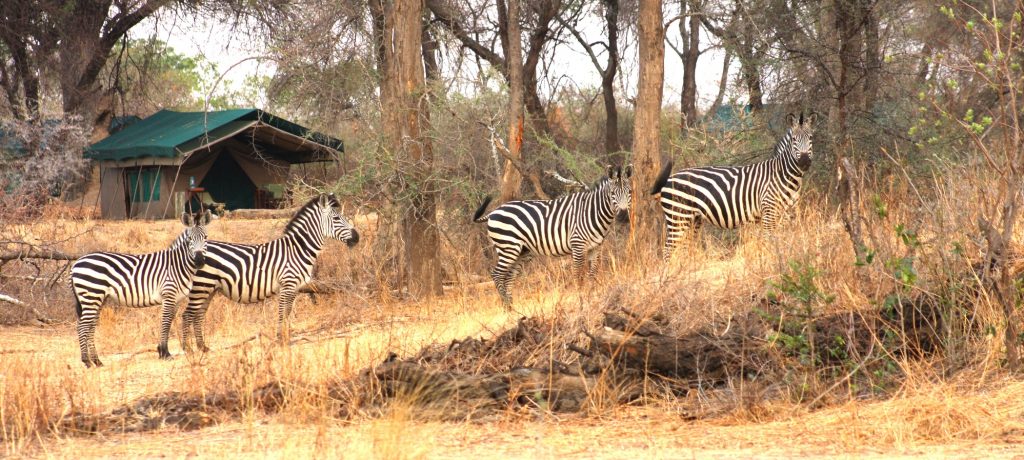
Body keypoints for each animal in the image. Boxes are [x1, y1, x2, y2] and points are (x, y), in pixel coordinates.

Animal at [71, 211, 212, 364]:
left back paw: (97, 361)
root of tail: (76, 263)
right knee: (82, 326)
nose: (199, 261)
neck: (177, 264)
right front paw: (165, 352)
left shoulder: (177, 299)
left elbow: (169, 322)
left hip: (97, 299)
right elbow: (166, 322)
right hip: (91, 295)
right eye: (189, 240)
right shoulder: (168, 295)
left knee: (90, 326)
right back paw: (86, 361)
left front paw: (161, 351)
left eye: (205, 237)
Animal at [180, 191, 360, 352]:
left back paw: (202, 347)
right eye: (336, 219)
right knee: (187, 315)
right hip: (201, 287)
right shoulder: (287, 285)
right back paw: (187, 349)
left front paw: (287, 337)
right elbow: (282, 313)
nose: (357, 237)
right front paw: (280, 339)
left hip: (209, 289)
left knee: (198, 315)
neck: (297, 249)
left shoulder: (295, 287)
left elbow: (288, 312)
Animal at [473, 164, 630, 305]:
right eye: (612, 193)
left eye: (629, 191)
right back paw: (507, 307)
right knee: (497, 274)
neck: (592, 212)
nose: (623, 217)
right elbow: (578, 275)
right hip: (508, 247)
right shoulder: (578, 245)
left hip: (522, 252)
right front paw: (581, 301)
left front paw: (591, 298)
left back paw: (512, 309)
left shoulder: (596, 247)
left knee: (508, 277)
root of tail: (494, 212)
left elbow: (592, 274)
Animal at [651, 110, 819, 254]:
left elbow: (784, 242)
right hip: (677, 216)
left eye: (811, 138)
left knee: (685, 248)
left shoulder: (788, 214)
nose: (804, 162)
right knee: (668, 250)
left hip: (693, 220)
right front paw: (772, 263)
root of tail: (669, 179)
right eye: (794, 140)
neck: (785, 176)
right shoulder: (769, 212)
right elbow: (770, 242)